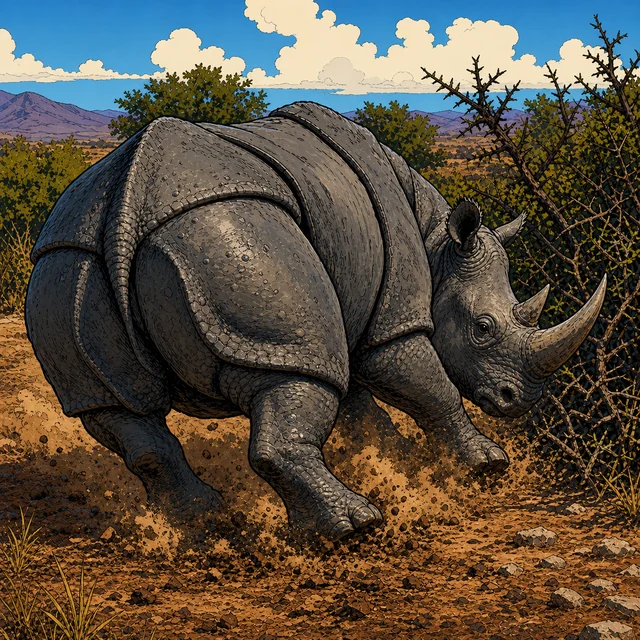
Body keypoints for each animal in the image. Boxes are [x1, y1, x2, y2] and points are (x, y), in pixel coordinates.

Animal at [25, 102, 606, 540]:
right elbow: (426, 384)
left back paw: (206, 519)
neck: (438, 240)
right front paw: (488, 465)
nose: (520, 401)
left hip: (68, 264)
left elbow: (360, 408)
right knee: (296, 374)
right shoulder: (393, 318)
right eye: (484, 328)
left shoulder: (347, 309)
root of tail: (127, 207)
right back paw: (356, 527)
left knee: (121, 412)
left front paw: (393, 457)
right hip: (236, 239)